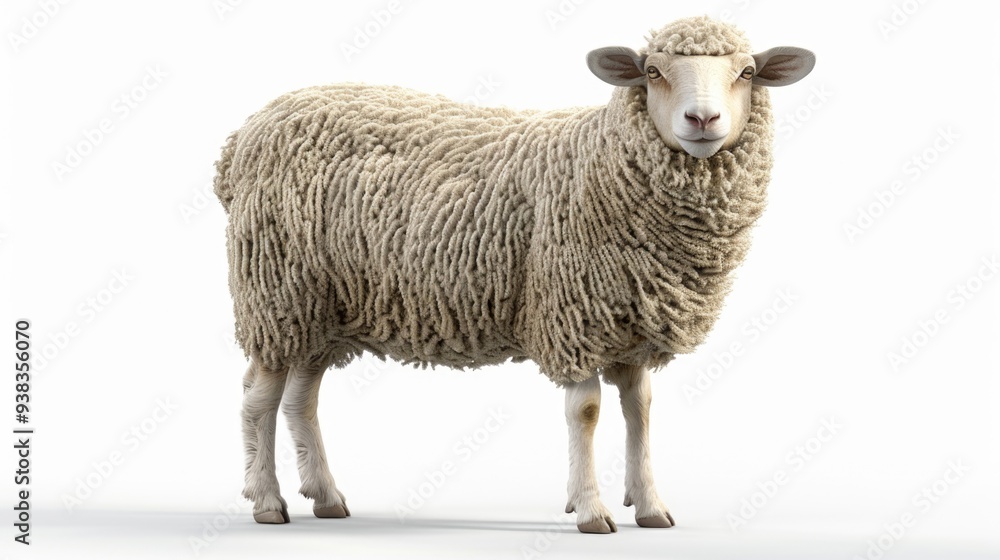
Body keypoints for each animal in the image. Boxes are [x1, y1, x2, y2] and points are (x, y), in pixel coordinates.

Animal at [214, 15, 814, 533]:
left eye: (746, 72)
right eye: (652, 71)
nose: (702, 120)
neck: (604, 164)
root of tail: (243, 139)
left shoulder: (631, 325)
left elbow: (640, 411)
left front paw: (650, 507)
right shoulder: (572, 314)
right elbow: (587, 412)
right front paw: (591, 511)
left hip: (322, 307)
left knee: (301, 398)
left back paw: (326, 496)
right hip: (275, 291)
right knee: (259, 398)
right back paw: (267, 501)